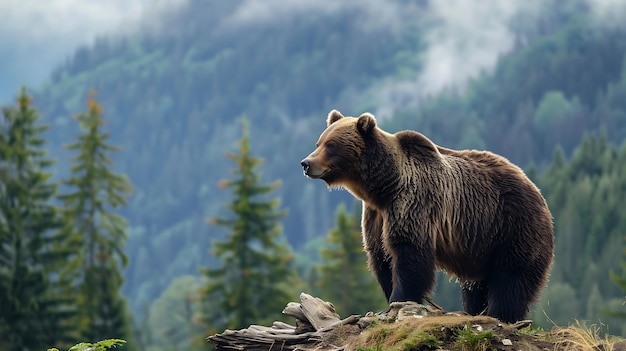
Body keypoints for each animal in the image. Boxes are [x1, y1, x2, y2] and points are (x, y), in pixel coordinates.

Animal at [302, 110, 552, 324]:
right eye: (319, 142)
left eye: (331, 145)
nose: (306, 163)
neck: (383, 188)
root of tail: (537, 190)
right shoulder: (375, 216)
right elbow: (381, 257)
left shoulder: (413, 201)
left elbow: (409, 253)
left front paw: (398, 300)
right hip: (482, 245)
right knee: (476, 286)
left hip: (512, 226)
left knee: (511, 279)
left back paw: (501, 314)